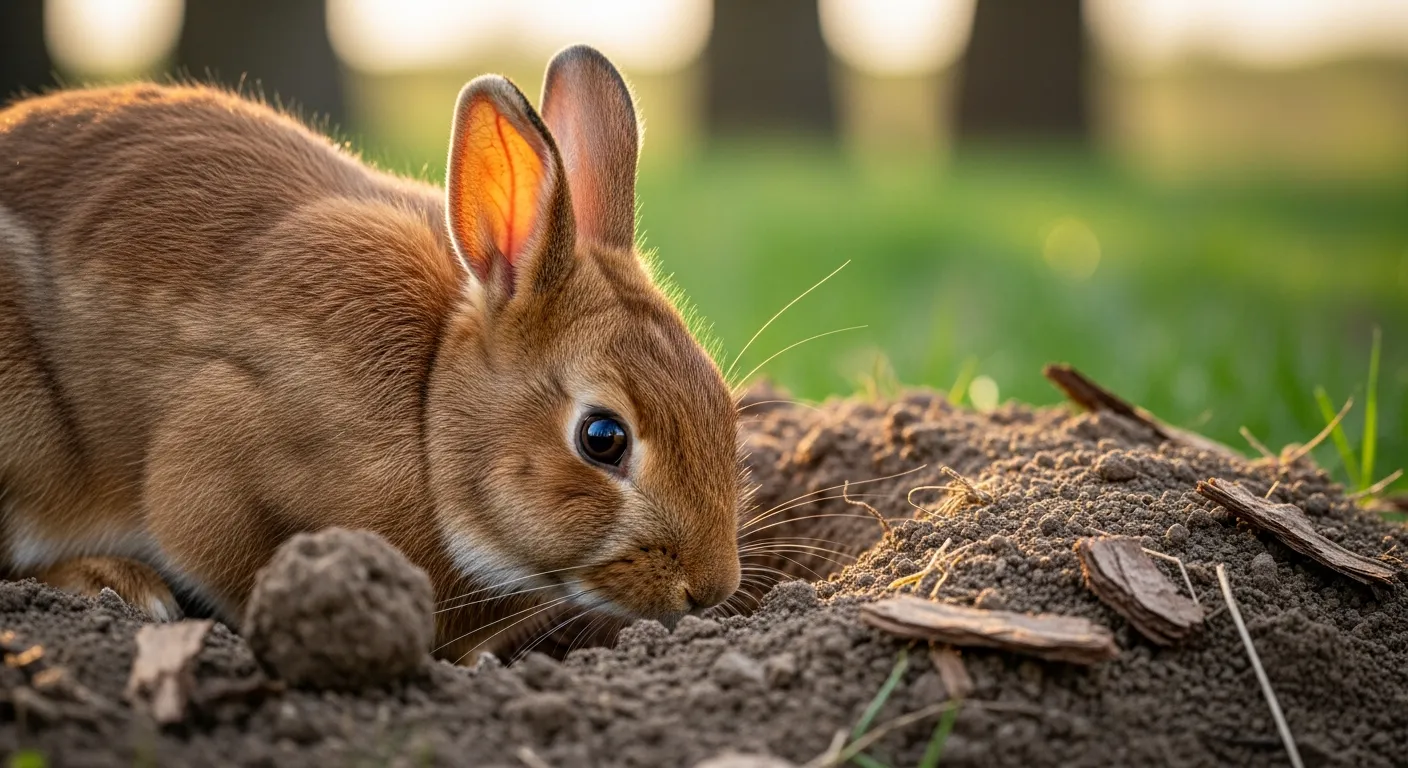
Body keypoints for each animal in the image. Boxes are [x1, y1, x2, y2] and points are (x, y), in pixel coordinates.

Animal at [0, 45, 742, 659]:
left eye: (725, 409)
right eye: (602, 437)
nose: (712, 587)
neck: (430, 411)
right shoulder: (213, 456)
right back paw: (114, 580)